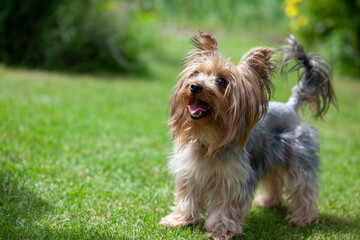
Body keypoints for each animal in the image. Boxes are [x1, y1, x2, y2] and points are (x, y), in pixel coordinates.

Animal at [159, 32, 336, 240]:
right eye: (196, 73)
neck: (210, 139)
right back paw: (269, 202)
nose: (195, 86)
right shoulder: (190, 173)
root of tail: (290, 106)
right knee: (274, 178)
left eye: (222, 81)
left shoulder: (234, 180)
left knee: (304, 187)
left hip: (299, 154)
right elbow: (187, 198)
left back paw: (303, 219)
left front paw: (220, 231)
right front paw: (178, 220)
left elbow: (225, 208)